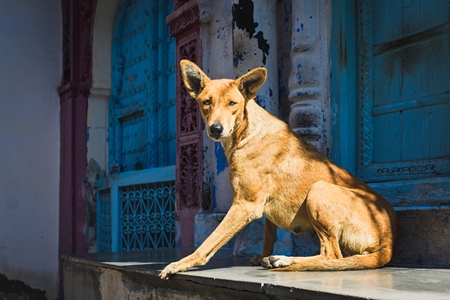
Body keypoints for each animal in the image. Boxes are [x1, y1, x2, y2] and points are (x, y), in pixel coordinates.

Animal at [160, 59, 400, 280]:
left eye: (232, 103)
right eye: (206, 102)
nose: (215, 129)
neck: (246, 133)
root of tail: (389, 243)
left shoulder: (244, 205)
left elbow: (210, 241)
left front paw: (181, 263)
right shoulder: (260, 206)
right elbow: (268, 233)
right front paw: (262, 254)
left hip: (319, 189)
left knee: (332, 255)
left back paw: (283, 260)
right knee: (334, 255)